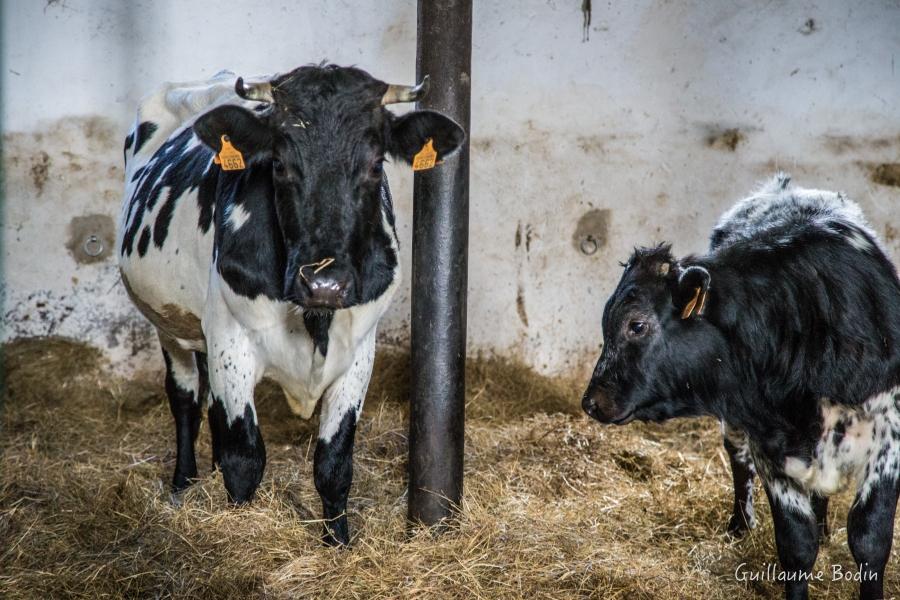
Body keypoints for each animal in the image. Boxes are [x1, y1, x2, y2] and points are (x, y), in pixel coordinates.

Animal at [118, 64, 464, 544]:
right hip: (169, 323)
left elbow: (334, 464)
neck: (314, 318)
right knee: (185, 398)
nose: (324, 283)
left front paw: (338, 542)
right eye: (279, 165)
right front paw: (239, 529)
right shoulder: (231, 340)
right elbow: (245, 459)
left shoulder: (360, 351)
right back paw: (183, 485)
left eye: (376, 164)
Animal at [580, 173, 900, 600]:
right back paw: (741, 527)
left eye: (637, 325)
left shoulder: (889, 439)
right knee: (738, 461)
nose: (592, 401)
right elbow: (796, 548)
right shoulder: (768, 446)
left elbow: (869, 540)